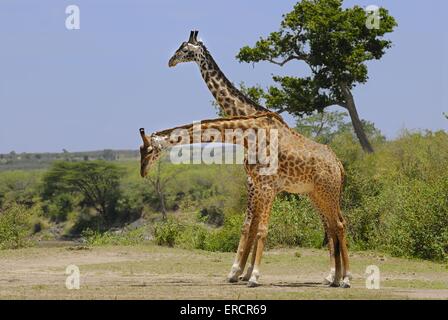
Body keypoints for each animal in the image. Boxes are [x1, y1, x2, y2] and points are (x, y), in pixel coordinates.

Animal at [168, 30, 336, 284]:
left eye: (185, 49)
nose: (171, 61)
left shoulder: (253, 184)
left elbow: (248, 225)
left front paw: (237, 271)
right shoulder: (257, 185)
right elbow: (254, 224)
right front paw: (244, 272)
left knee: (331, 225)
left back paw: (334, 275)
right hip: (313, 193)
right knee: (330, 225)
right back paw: (333, 275)